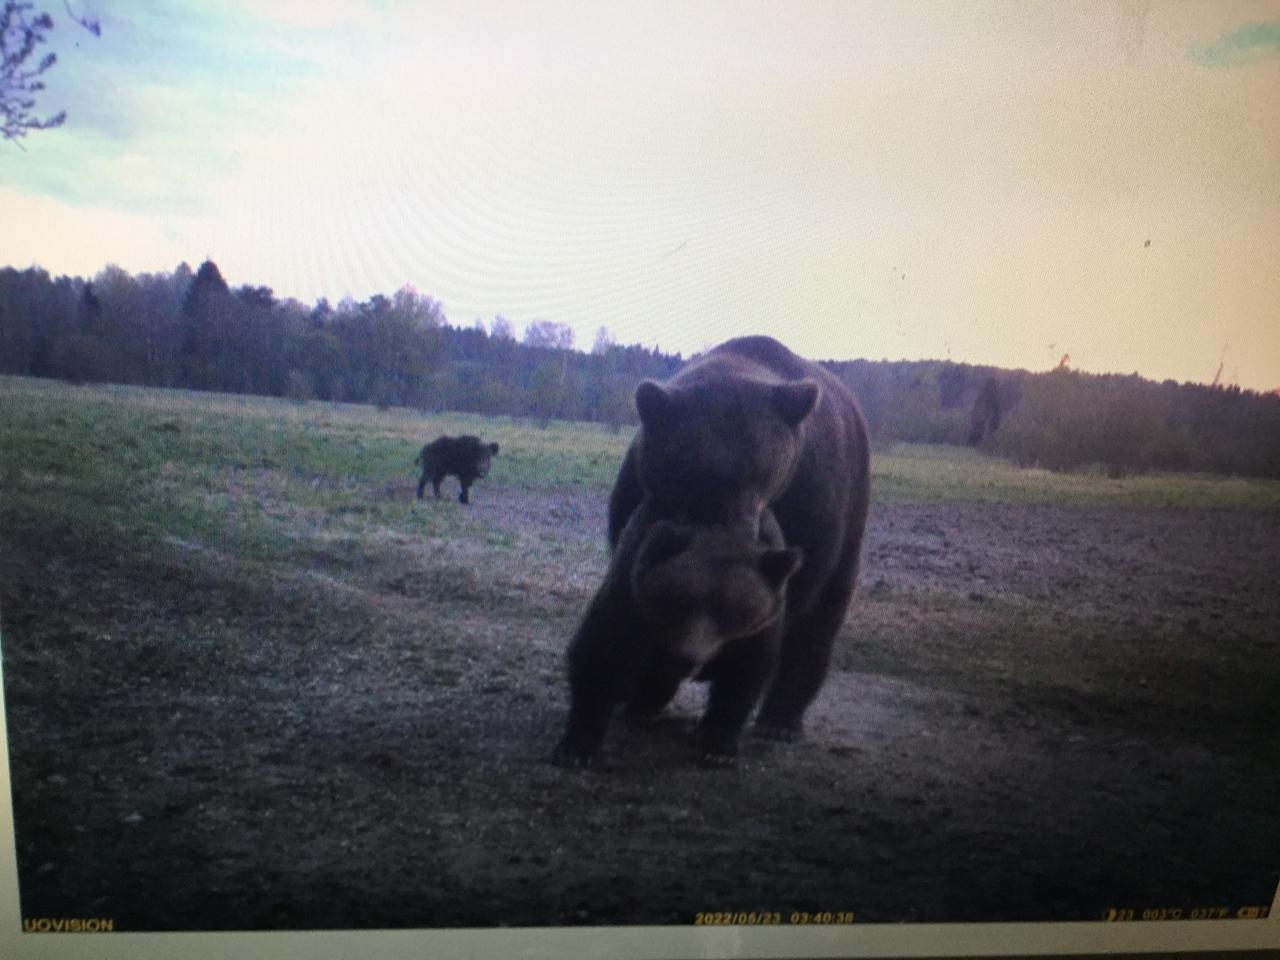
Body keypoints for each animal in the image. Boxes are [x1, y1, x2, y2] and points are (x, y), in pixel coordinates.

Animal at [550, 499, 798, 773]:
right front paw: (577, 747)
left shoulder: (756, 633)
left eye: (730, 612)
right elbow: (600, 656)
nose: (685, 659)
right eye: (680, 601)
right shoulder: (632, 602)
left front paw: (718, 750)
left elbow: (743, 681)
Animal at [606, 335, 870, 742]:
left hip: (852, 516)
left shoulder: (810, 504)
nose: (737, 533)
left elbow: (786, 596)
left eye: (762, 476)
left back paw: (781, 721)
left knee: (821, 618)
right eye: (694, 473)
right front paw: (644, 693)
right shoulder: (639, 493)